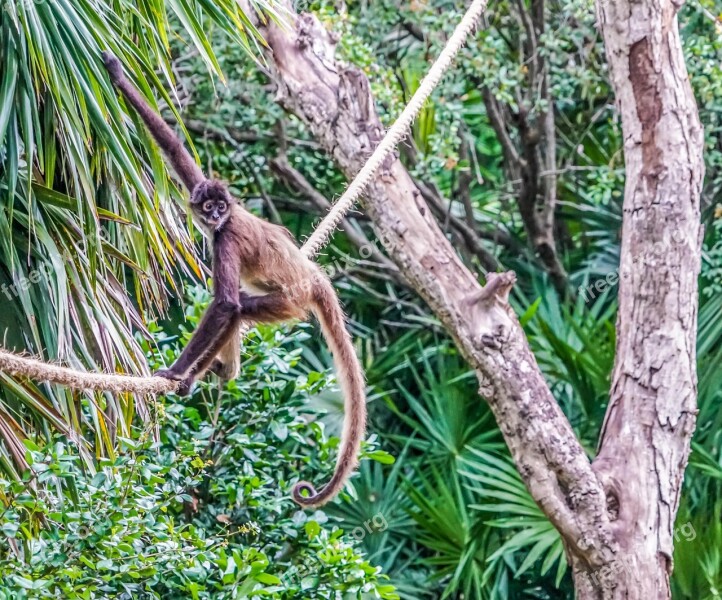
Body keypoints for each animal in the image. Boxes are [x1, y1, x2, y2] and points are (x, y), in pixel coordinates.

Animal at [101, 51, 366, 506]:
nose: (214, 214)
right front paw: (117, 75)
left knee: (239, 309)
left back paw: (202, 375)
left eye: (220, 208)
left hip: (288, 302)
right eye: (208, 205)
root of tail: (315, 280)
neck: (223, 223)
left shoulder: (225, 239)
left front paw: (176, 372)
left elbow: (225, 302)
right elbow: (176, 150)